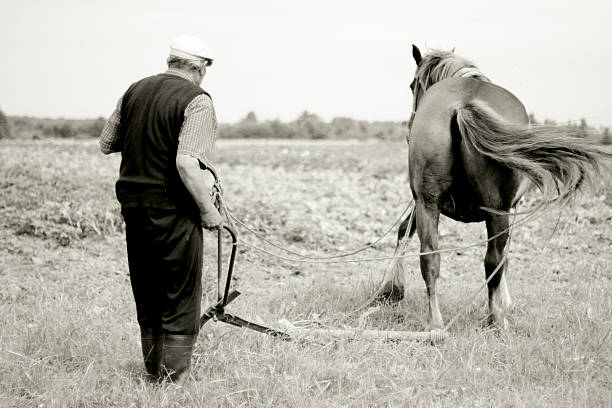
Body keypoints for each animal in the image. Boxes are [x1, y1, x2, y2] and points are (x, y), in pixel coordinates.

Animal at [380, 46, 608, 330]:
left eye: (412, 85)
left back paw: (437, 322)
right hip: (491, 210)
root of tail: (463, 104)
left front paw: (390, 289)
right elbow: (505, 256)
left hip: (430, 204)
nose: (407, 129)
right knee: (492, 260)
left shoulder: (426, 202)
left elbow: (404, 231)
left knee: (432, 257)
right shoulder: (510, 209)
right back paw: (495, 319)